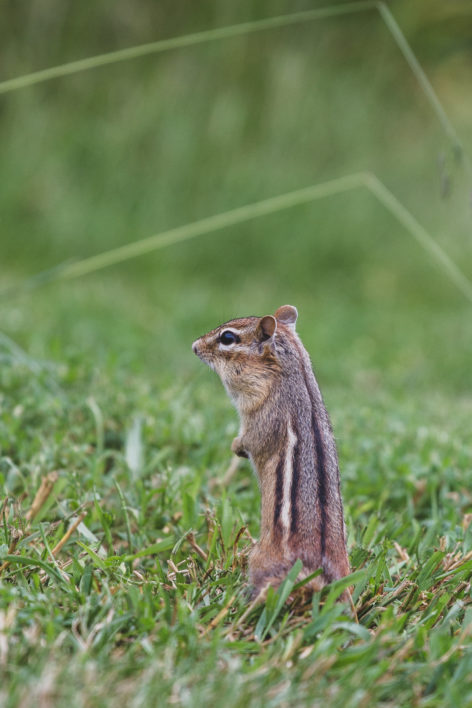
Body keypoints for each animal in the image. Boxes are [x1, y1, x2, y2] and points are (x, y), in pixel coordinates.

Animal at [192, 305, 350, 597]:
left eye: (227, 338)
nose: (195, 346)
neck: (287, 374)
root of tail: (316, 572)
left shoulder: (260, 417)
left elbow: (250, 439)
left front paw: (236, 447)